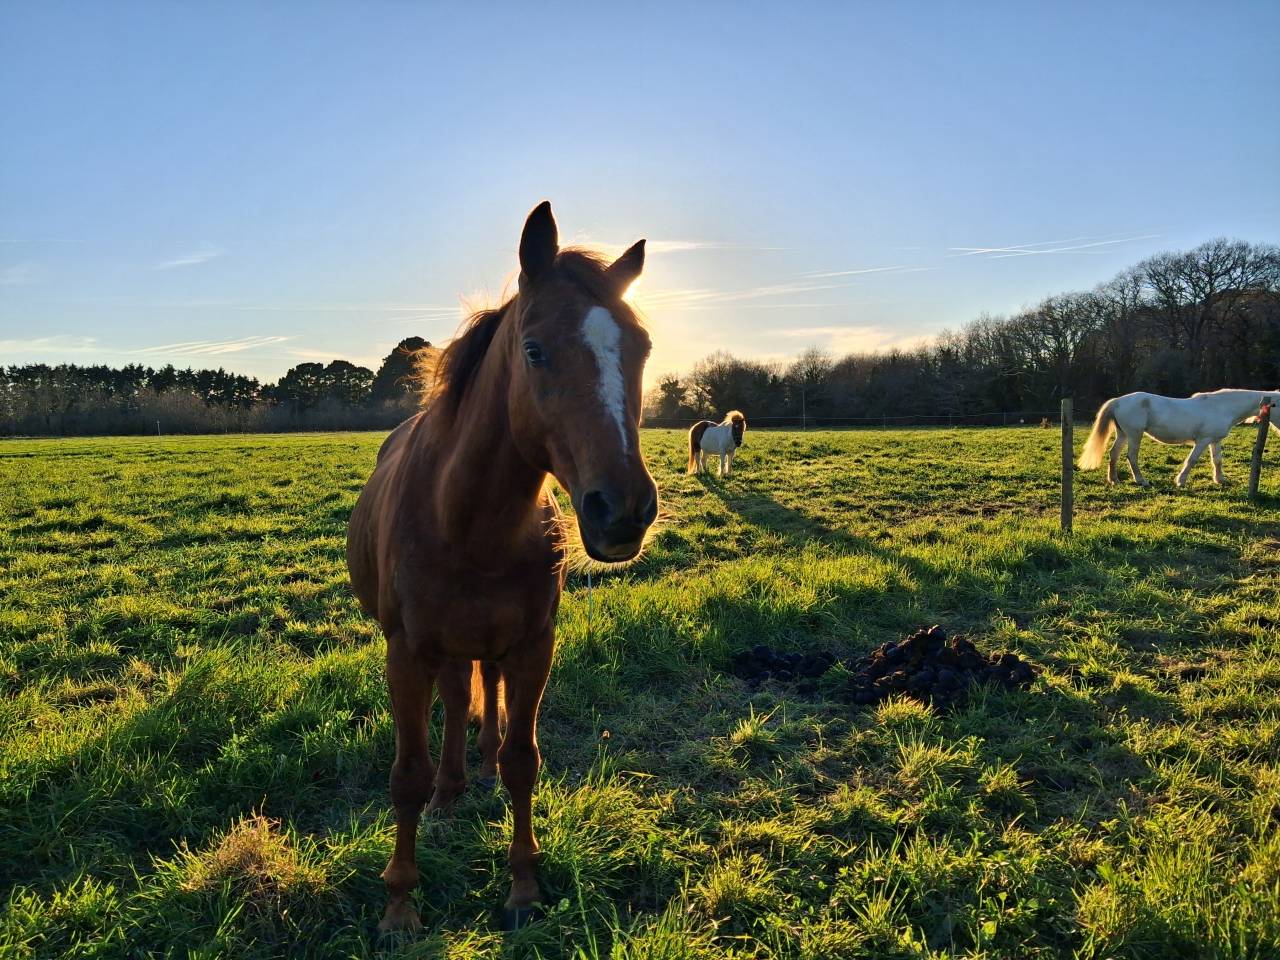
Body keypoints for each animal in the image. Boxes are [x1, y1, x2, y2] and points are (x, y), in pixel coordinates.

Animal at [346, 202, 658, 932]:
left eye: (642, 348)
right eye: (535, 350)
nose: (622, 510)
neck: (466, 523)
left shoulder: (532, 646)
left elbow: (522, 760)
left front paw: (522, 886)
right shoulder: (406, 652)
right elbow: (406, 773)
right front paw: (399, 900)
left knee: (478, 694)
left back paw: (476, 772)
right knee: (458, 701)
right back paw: (451, 790)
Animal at [1078, 388, 1280, 487]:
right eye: (1276, 405)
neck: (1221, 407)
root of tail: (1118, 401)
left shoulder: (1214, 440)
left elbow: (1217, 460)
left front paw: (1220, 480)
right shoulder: (1203, 440)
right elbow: (1192, 460)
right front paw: (1180, 481)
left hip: (1124, 434)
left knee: (1114, 454)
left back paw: (1114, 480)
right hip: (1135, 434)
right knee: (1131, 457)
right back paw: (1141, 481)